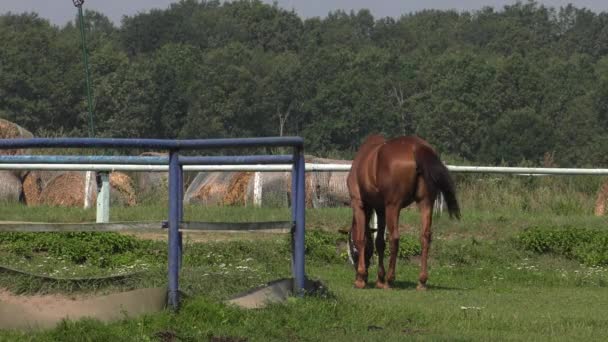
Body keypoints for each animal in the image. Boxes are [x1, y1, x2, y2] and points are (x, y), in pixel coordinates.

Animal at [346, 135, 460, 290]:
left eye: (352, 253)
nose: (358, 271)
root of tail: (416, 147)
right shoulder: (381, 209)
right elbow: (379, 242)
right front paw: (379, 279)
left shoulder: (359, 204)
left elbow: (362, 239)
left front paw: (361, 278)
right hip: (425, 203)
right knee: (425, 236)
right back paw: (421, 281)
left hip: (393, 206)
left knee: (395, 238)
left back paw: (390, 279)